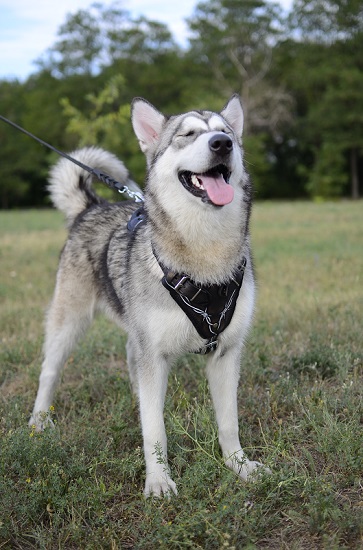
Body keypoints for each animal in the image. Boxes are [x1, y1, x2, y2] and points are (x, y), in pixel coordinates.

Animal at [29, 97, 268, 498]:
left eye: (227, 132)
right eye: (187, 134)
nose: (222, 143)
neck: (204, 255)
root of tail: (92, 206)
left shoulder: (226, 353)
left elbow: (229, 422)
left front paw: (238, 466)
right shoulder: (153, 355)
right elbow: (155, 429)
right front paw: (158, 481)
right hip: (68, 322)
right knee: (49, 373)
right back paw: (37, 422)